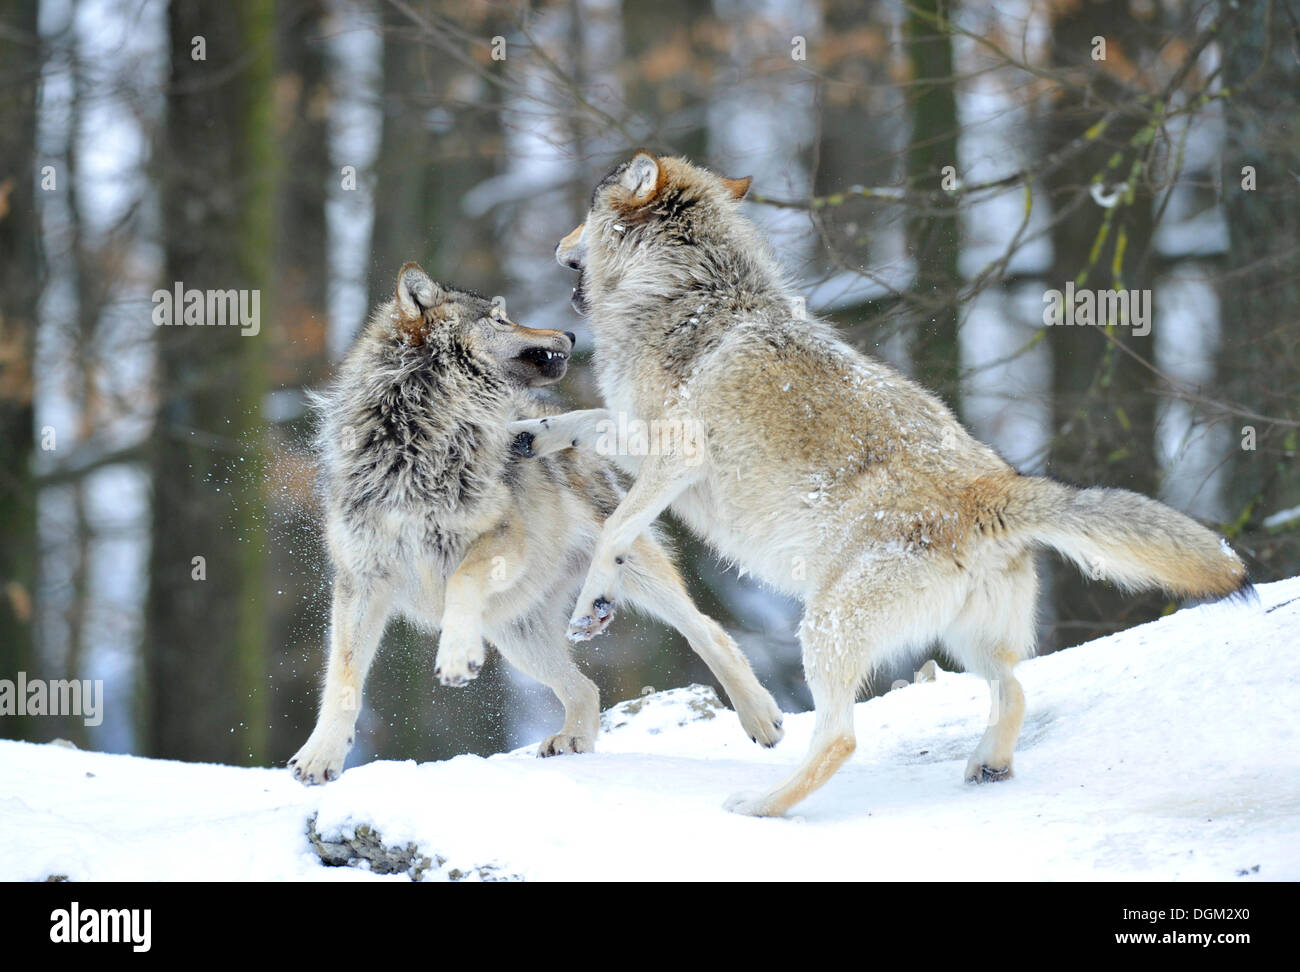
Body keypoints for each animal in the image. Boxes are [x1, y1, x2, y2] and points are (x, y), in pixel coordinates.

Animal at [292, 262, 780, 784]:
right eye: (499, 319)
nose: (570, 333)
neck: (416, 440)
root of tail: (550, 414)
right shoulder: (360, 581)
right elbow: (342, 678)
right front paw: (321, 756)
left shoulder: (505, 541)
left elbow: (460, 581)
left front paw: (455, 656)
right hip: (517, 638)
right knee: (585, 688)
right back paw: (572, 741)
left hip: (628, 576)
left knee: (707, 630)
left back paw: (761, 717)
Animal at [509, 152, 1248, 816]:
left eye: (584, 210)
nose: (555, 245)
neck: (685, 293)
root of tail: (995, 489)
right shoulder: (637, 441)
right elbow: (582, 421)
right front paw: (527, 434)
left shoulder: (675, 459)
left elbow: (613, 528)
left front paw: (593, 607)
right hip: (963, 642)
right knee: (1014, 690)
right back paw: (988, 766)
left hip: (825, 629)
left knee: (840, 738)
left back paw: (760, 806)